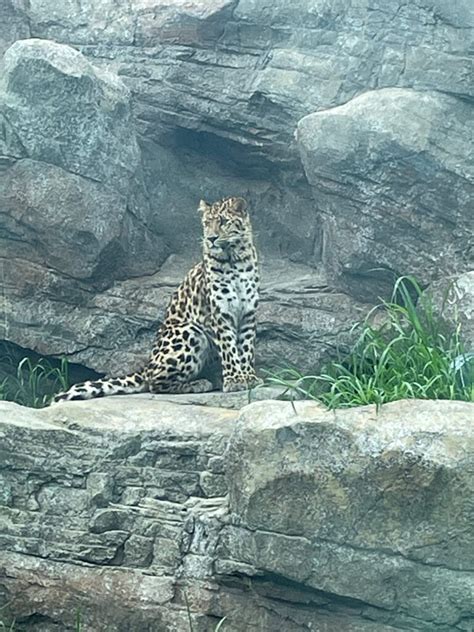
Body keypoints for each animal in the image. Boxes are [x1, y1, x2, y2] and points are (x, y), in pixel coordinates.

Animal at [53, 196, 262, 402]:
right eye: (206, 224)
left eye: (223, 222)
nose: (211, 239)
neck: (235, 260)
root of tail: (147, 365)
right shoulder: (220, 313)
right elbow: (229, 348)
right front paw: (235, 380)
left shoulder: (248, 313)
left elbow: (246, 347)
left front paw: (248, 377)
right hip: (188, 330)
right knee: (155, 383)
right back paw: (199, 384)